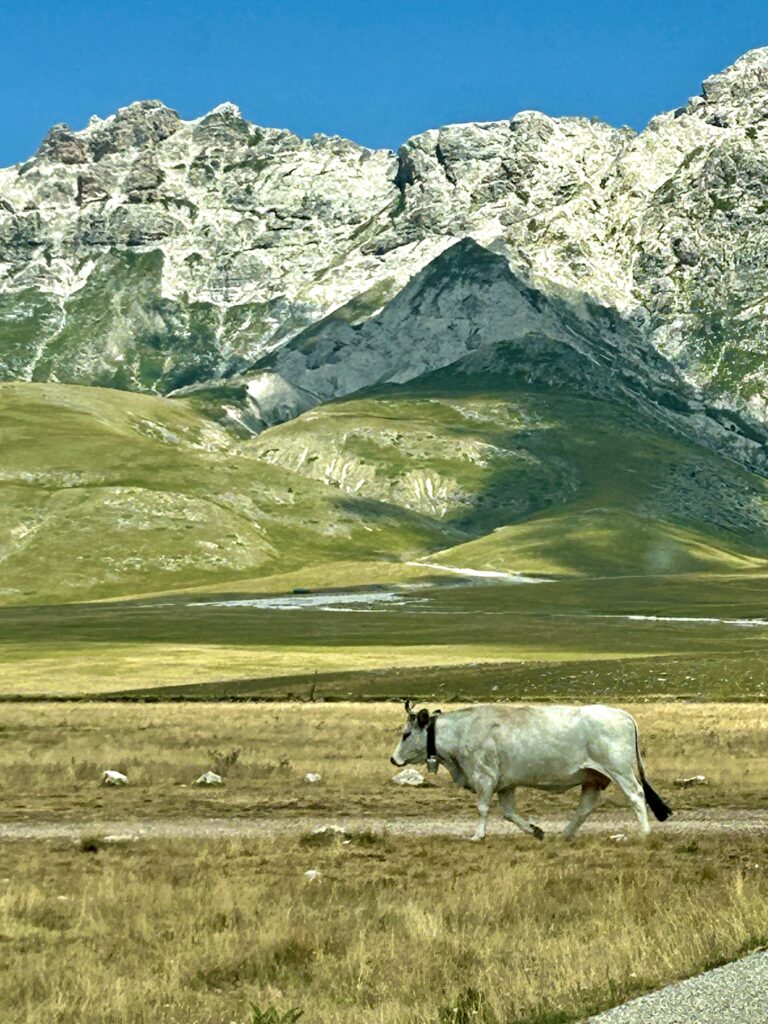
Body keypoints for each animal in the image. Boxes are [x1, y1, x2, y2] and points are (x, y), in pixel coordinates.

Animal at [391, 704, 671, 839]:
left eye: (406, 734)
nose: (393, 759)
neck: (463, 731)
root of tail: (624, 715)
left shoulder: (485, 777)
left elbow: (482, 808)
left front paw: (477, 835)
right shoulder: (506, 785)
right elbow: (508, 813)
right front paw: (536, 831)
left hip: (620, 771)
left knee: (636, 796)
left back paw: (642, 833)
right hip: (592, 778)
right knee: (585, 807)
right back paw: (565, 834)